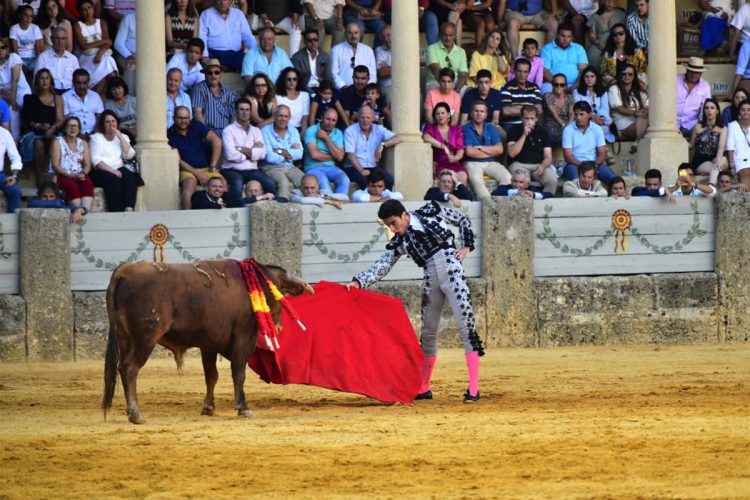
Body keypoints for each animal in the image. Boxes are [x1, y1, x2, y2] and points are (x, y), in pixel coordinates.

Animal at [101, 260, 312, 424]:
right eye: (279, 290)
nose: (279, 326)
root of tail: (124, 270)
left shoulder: (209, 345)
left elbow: (211, 376)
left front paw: (208, 407)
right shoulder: (242, 339)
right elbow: (239, 374)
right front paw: (243, 408)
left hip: (124, 337)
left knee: (122, 368)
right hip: (146, 337)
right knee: (130, 368)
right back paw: (135, 414)